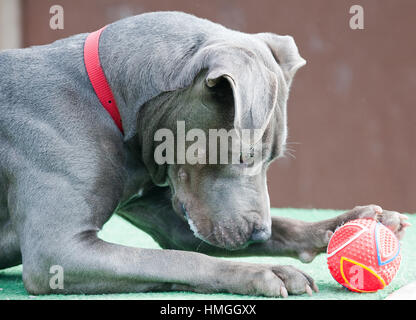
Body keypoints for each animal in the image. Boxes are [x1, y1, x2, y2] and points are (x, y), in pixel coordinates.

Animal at [0, 12, 410, 298]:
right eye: (243, 156)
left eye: (273, 159)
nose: (258, 236)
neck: (110, 98)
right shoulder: (58, 252)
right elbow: (177, 259)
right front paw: (267, 273)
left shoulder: (175, 220)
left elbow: (283, 225)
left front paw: (354, 222)